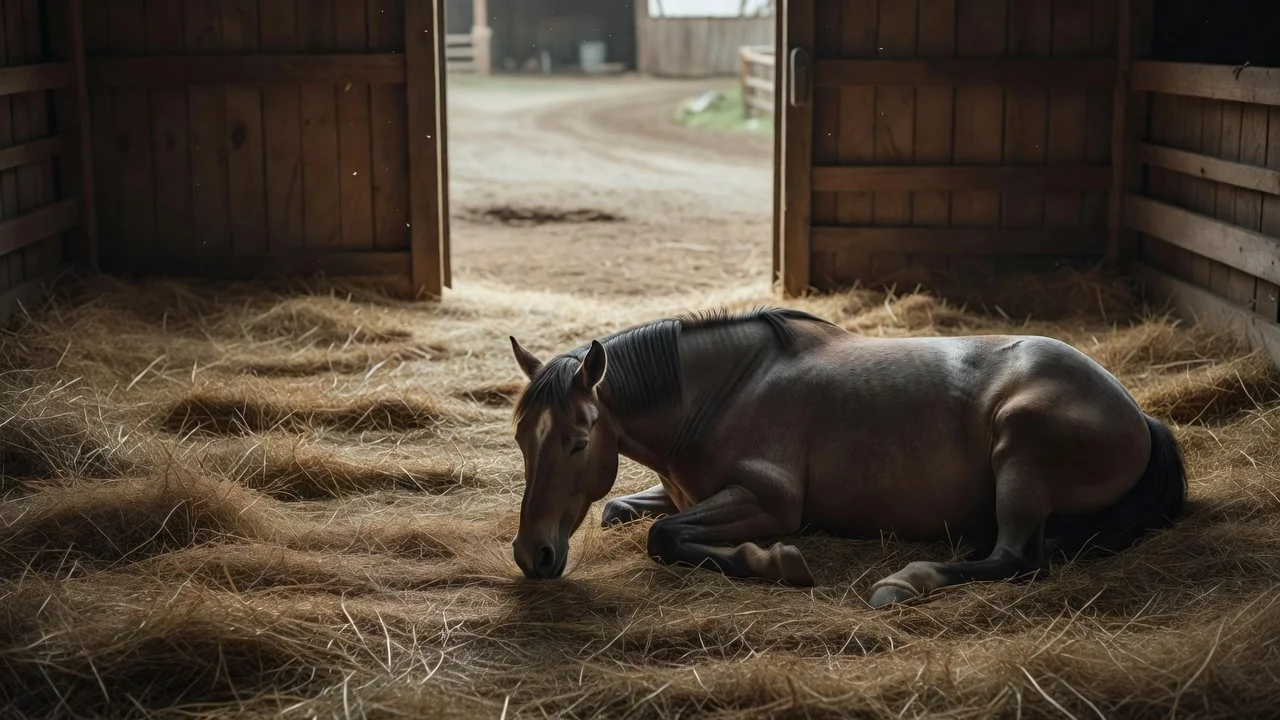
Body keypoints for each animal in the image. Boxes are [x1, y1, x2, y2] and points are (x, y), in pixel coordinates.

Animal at [506, 307, 1186, 607]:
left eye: (578, 440)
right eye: (520, 438)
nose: (533, 554)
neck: (727, 390)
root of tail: (1137, 414)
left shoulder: (769, 502)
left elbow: (665, 535)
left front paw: (775, 562)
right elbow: (625, 508)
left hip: (1021, 447)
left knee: (1016, 558)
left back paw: (905, 581)